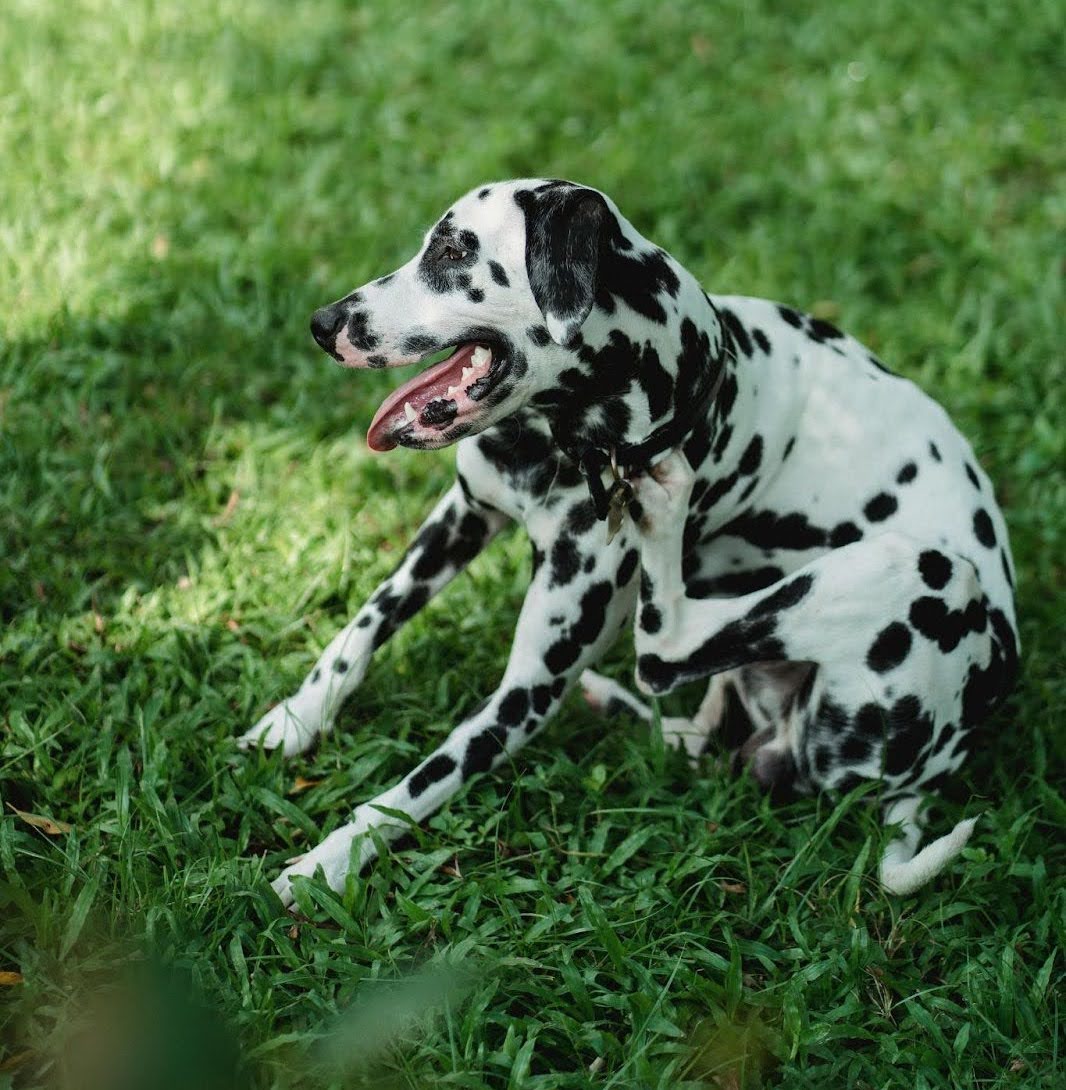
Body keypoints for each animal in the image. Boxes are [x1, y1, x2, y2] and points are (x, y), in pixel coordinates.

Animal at [236, 178, 1020, 902]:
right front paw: (295, 718)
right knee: (688, 717)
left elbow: (410, 791)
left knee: (664, 646)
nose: (323, 322)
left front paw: (327, 863)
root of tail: (935, 768)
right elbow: (363, 626)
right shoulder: (464, 516)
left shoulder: (527, 691)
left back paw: (663, 517)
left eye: (456, 251)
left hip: (924, 570)